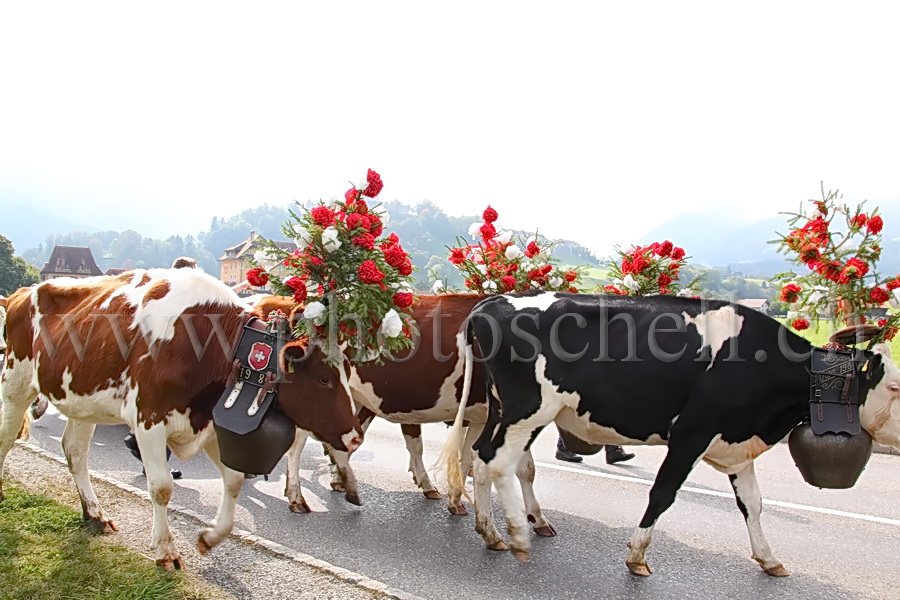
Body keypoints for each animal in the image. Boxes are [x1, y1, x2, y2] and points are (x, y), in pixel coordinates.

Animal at [4, 270, 362, 568]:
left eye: (347, 373)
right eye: (324, 379)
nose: (356, 436)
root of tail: (23, 291)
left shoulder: (211, 425)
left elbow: (233, 482)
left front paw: (210, 537)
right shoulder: (148, 419)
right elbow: (161, 487)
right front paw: (165, 550)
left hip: (81, 401)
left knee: (75, 453)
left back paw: (95, 514)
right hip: (15, 381)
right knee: (6, 439)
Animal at [442, 290, 900, 576]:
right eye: (894, 387)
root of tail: (494, 301)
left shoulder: (735, 443)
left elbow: (753, 504)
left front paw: (769, 559)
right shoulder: (692, 434)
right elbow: (663, 494)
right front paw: (637, 556)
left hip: (503, 409)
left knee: (481, 456)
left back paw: (491, 531)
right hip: (530, 408)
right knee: (498, 462)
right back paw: (518, 535)